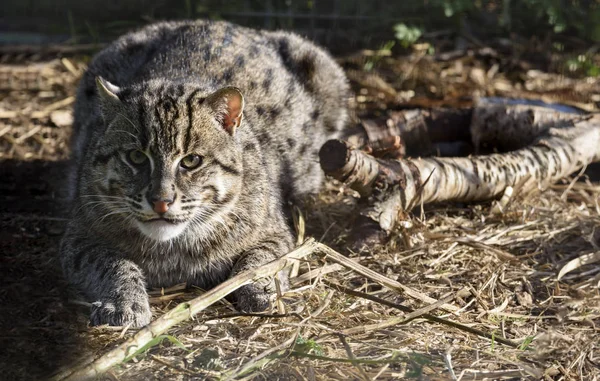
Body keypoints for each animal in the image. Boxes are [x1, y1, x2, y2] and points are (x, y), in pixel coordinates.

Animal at [61, 19, 350, 326]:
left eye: (191, 161)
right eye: (136, 157)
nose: (161, 202)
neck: (172, 246)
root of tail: (218, 22)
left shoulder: (277, 234)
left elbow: (261, 260)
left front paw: (258, 288)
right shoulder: (79, 237)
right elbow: (113, 264)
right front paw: (123, 302)